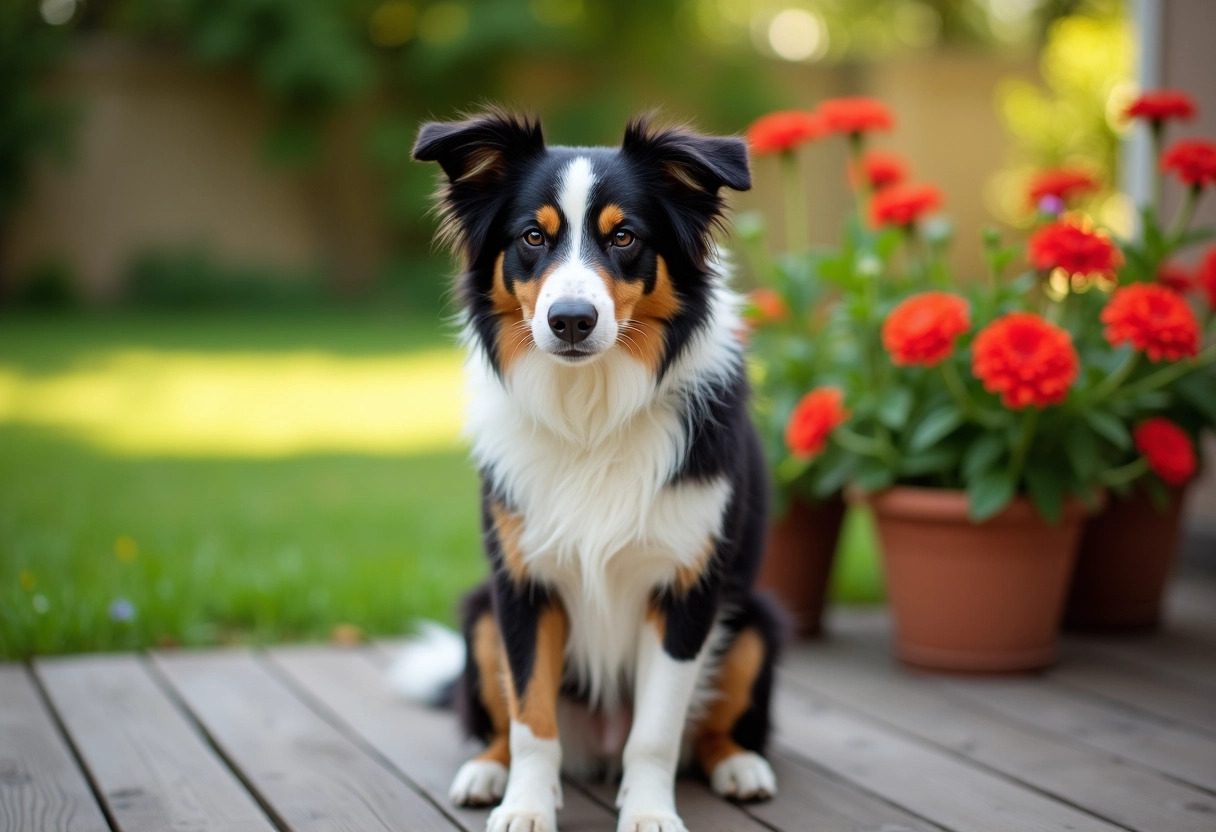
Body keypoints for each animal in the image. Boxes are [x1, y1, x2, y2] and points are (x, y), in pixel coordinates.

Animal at [393, 110, 783, 832]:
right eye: (532, 237)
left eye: (624, 236)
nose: (570, 320)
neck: (590, 412)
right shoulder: (522, 584)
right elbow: (530, 718)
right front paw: (524, 806)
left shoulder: (686, 587)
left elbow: (656, 732)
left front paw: (651, 813)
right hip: (481, 613)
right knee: (499, 724)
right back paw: (486, 772)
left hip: (754, 622)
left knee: (711, 729)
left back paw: (739, 764)